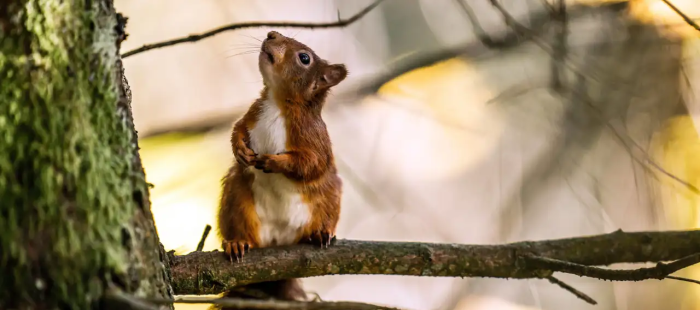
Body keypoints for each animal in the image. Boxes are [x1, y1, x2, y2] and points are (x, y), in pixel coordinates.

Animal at [213, 30, 344, 306]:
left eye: (304, 58)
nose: (271, 34)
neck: (277, 102)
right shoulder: (252, 115)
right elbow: (237, 129)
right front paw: (239, 149)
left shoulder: (315, 139)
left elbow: (312, 164)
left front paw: (275, 162)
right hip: (236, 199)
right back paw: (237, 243)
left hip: (328, 197)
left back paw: (319, 234)